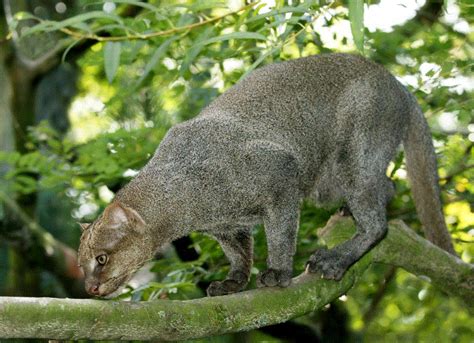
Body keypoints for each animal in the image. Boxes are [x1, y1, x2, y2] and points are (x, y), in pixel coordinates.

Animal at [78, 53, 456, 298]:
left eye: (102, 258)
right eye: (82, 266)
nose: (90, 288)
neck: (186, 197)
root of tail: (400, 85)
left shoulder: (281, 177)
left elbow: (281, 235)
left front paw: (277, 273)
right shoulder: (228, 227)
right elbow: (239, 254)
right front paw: (233, 282)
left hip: (355, 159)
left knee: (378, 223)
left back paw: (335, 259)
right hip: (332, 183)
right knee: (387, 187)